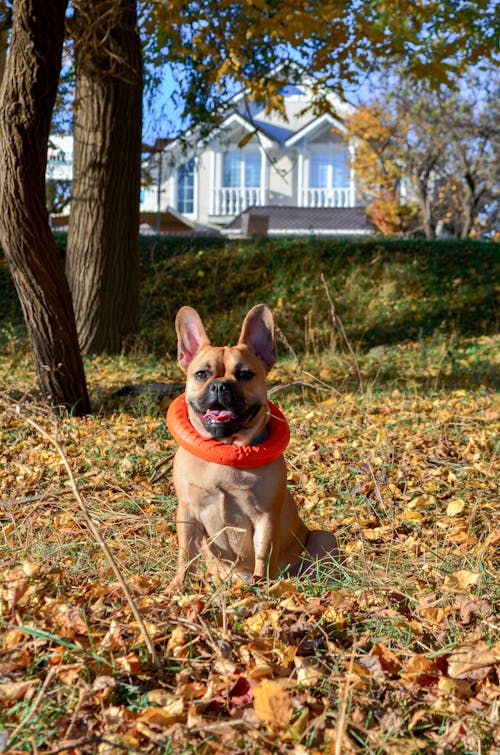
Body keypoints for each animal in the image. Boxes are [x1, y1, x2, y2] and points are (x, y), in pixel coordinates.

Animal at [168, 304, 340, 588]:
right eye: (201, 374)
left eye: (245, 374)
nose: (220, 385)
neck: (225, 448)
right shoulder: (188, 513)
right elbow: (185, 554)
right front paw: (178, 586)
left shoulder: (265, 516)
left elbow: (263, 553)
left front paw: (263, 586)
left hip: (325, 537)